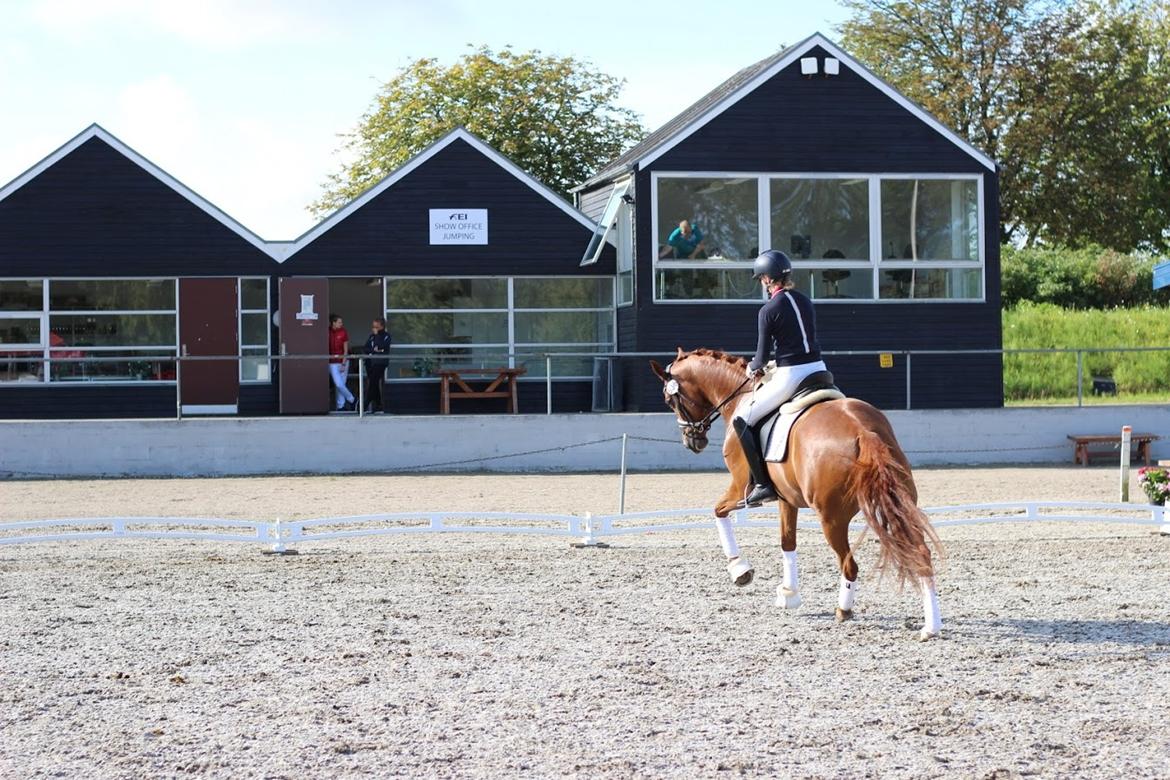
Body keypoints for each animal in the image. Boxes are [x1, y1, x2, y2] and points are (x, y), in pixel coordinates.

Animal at [655, 348, 945, 640]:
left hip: (831, 518)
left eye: (670, 399)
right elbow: (787, 542)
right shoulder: (787, 499)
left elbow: (718, 512)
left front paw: (740, 570)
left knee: (850, 565)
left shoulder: (739, 489)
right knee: (921, 555)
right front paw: (789, 594)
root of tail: (862, 432)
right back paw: (931, 627)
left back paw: (844, 610)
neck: (741, 395)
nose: (692, 441)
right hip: (895, 506)